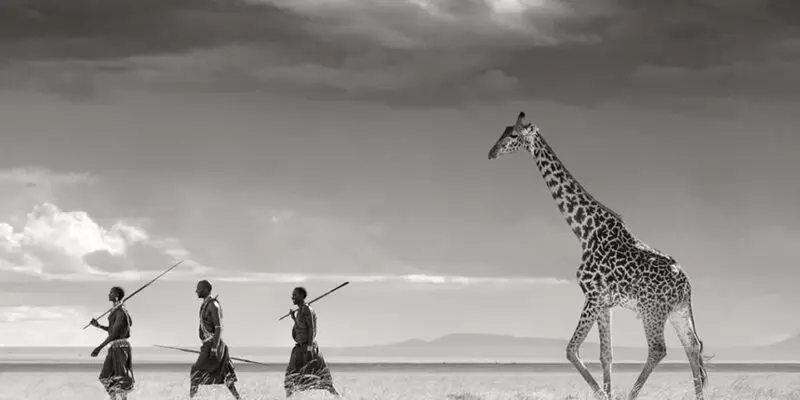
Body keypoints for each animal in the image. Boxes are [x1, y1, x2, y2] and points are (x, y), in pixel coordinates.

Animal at [487, 112, 709, 400]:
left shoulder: (592, 295)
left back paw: (632, 396)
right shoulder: (605, 303)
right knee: (693, 346)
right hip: (678, 311)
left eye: (513, 135)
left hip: (653, 310)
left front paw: (604, 394)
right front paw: (607, 391)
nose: (491, 152)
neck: (585, 229)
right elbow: (606, 355)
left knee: (658, 349)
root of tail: (686, 285)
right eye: (503, 130)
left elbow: (572, 349)